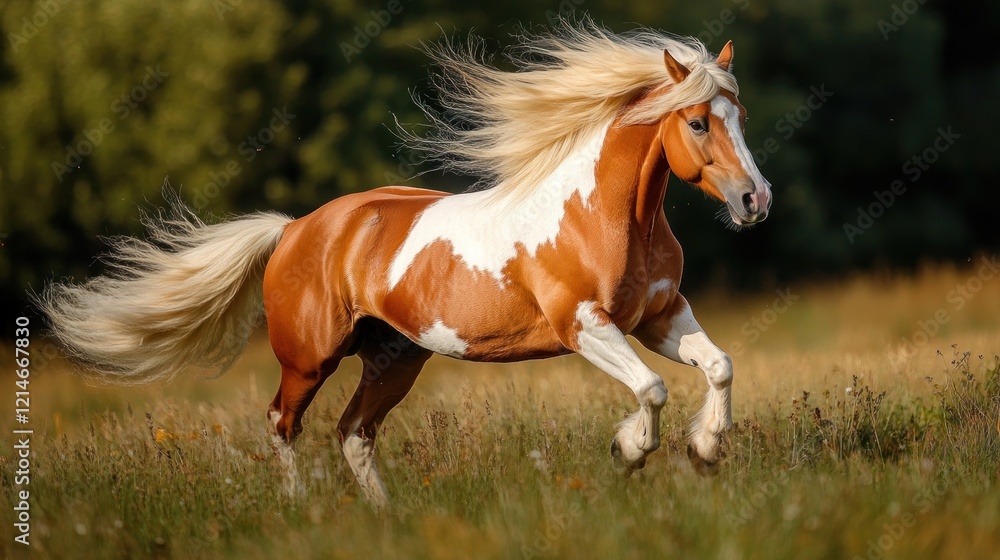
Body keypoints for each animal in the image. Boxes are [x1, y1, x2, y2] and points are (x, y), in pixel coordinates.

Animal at [38, 22, 771, 509]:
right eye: (699, 122)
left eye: (740, 114)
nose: (754, 200)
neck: (606, 216)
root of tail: (295, 229)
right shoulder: (585, 327)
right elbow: (652, 389)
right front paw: (630, 450)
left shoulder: (659, 315)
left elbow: (720, 366)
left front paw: (705, 450)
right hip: (310, 357)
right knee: (283, 423)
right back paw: (298, 509)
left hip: (395, 358)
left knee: (353, 432)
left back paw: (384, 516)